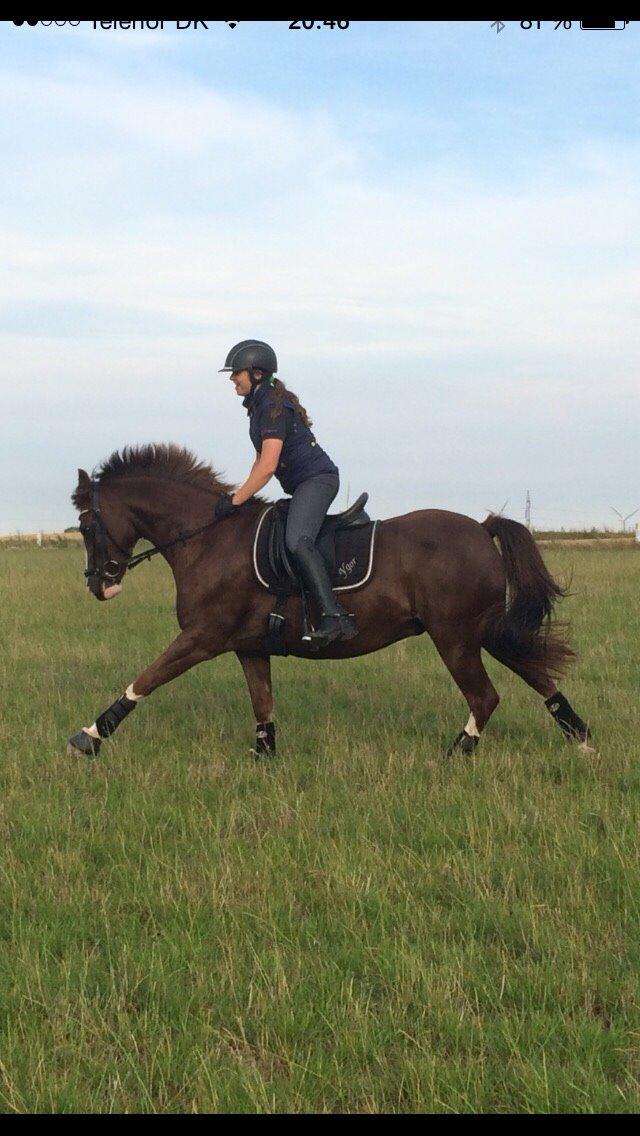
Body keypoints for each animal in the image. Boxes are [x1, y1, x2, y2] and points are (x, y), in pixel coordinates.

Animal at [67, 444, 592, 760]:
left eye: (87, 524)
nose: (98, 585)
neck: (208, 539)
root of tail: (482, 529)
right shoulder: (248, 646)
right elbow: (262, 703)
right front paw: (263, 756)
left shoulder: (202, 637)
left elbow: (146, 679)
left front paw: (89, 737)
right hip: (483, 631)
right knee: (536, 673)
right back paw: (582, 740)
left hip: (456, 637)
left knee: (485, 696)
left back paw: (455, 755)